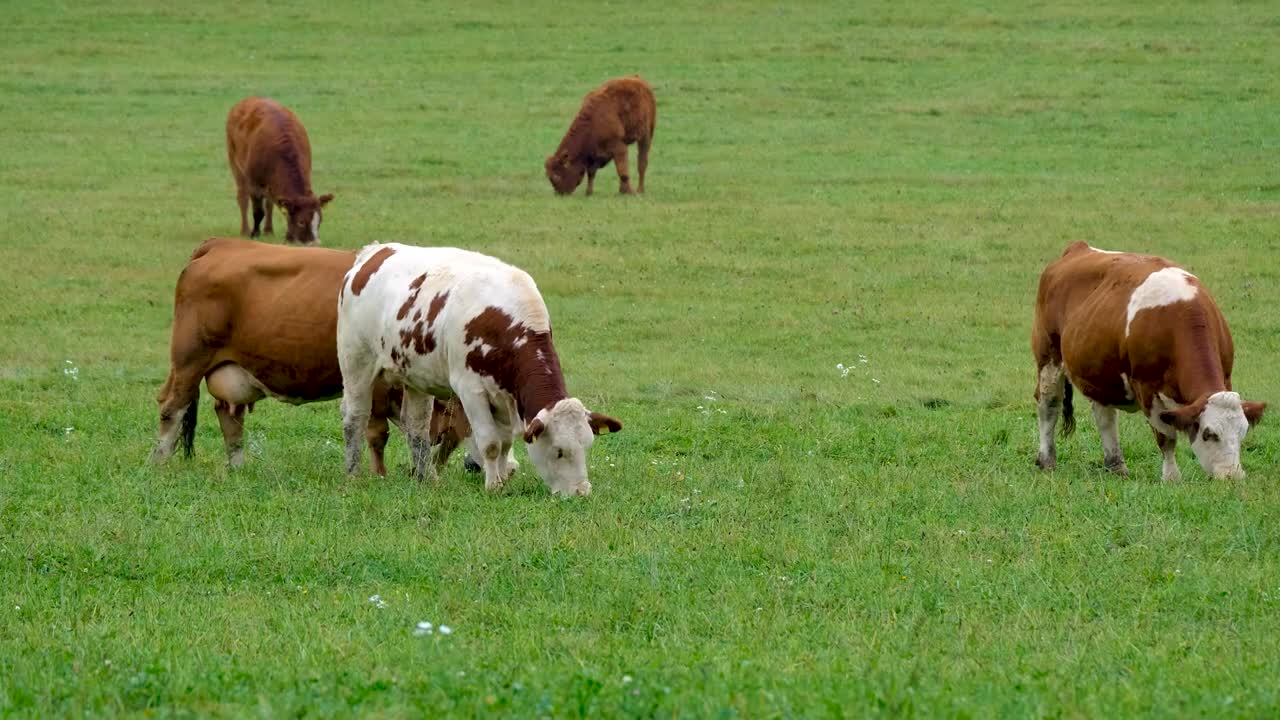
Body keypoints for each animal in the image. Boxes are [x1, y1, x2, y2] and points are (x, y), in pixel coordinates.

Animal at [151, 237, 470, 474]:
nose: (472, 467)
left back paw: (238, 467)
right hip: (189, 360)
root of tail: (220, 243)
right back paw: (160, 462)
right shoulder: (373, 381)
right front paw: (379, 474)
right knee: (172, 407)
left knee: (229, 415)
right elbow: (377, 433)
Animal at [226, 97, 334, 245]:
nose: (314, 243)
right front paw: (255, 233)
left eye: (319, 222)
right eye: (301, 222)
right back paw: (245, 230)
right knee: (243, 197)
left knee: (269, 203)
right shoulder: (254, 183)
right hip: (235, 162)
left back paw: (268, 230)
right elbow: (258, 212)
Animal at [337, 243, 623, 496]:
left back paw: (426, 478)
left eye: (587, 446)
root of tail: (373, 252)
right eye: (559, 451)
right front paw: (493, 486)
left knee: (416, 426)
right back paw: (353, 474)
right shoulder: (470, 390)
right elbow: (491, 443)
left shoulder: (505, 395)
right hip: (356, 361)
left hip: (414, 375)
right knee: (355, 416)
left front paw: (501, 480)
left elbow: (505, 443)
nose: (581, 492)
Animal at [1031, 241, 1265, 481]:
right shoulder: (1147, 388)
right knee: (1049, 404)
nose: (1233, 476)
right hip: (1048, 356)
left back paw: (1116, 466)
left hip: (1099, 370)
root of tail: (1077, 248)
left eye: (1243, 432)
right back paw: (1046, 460)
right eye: (1209, 434)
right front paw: (1171, 478)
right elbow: (1166, 438)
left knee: (1104, 415)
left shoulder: (1226, 376)